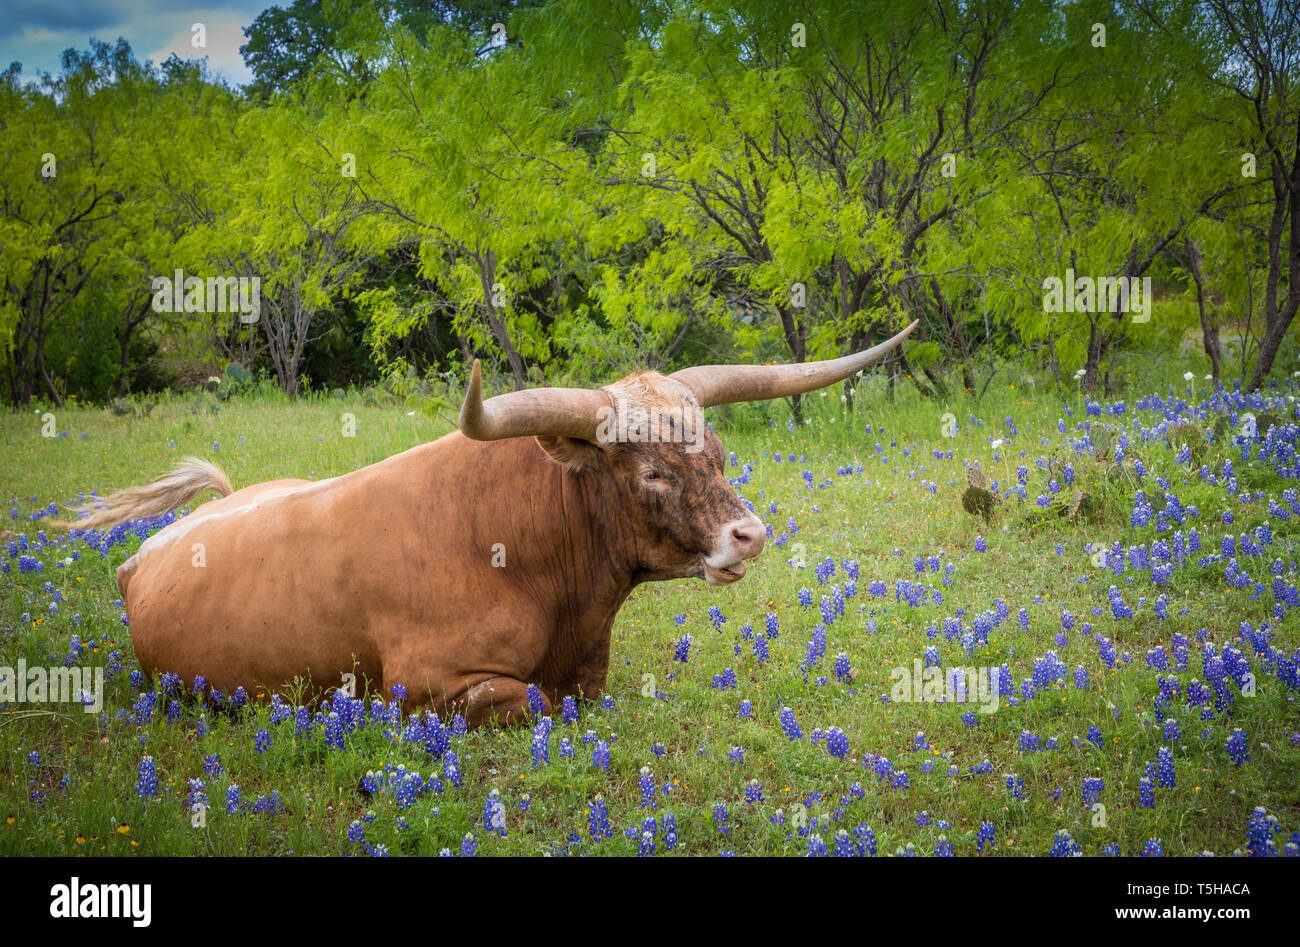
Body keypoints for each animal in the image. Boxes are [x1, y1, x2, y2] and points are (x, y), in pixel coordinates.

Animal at [61, 322, 916, 728]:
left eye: (719, 451)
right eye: (651, 471)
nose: (750, 535)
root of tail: (145, 554)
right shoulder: (431, 684)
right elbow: (538, 702)